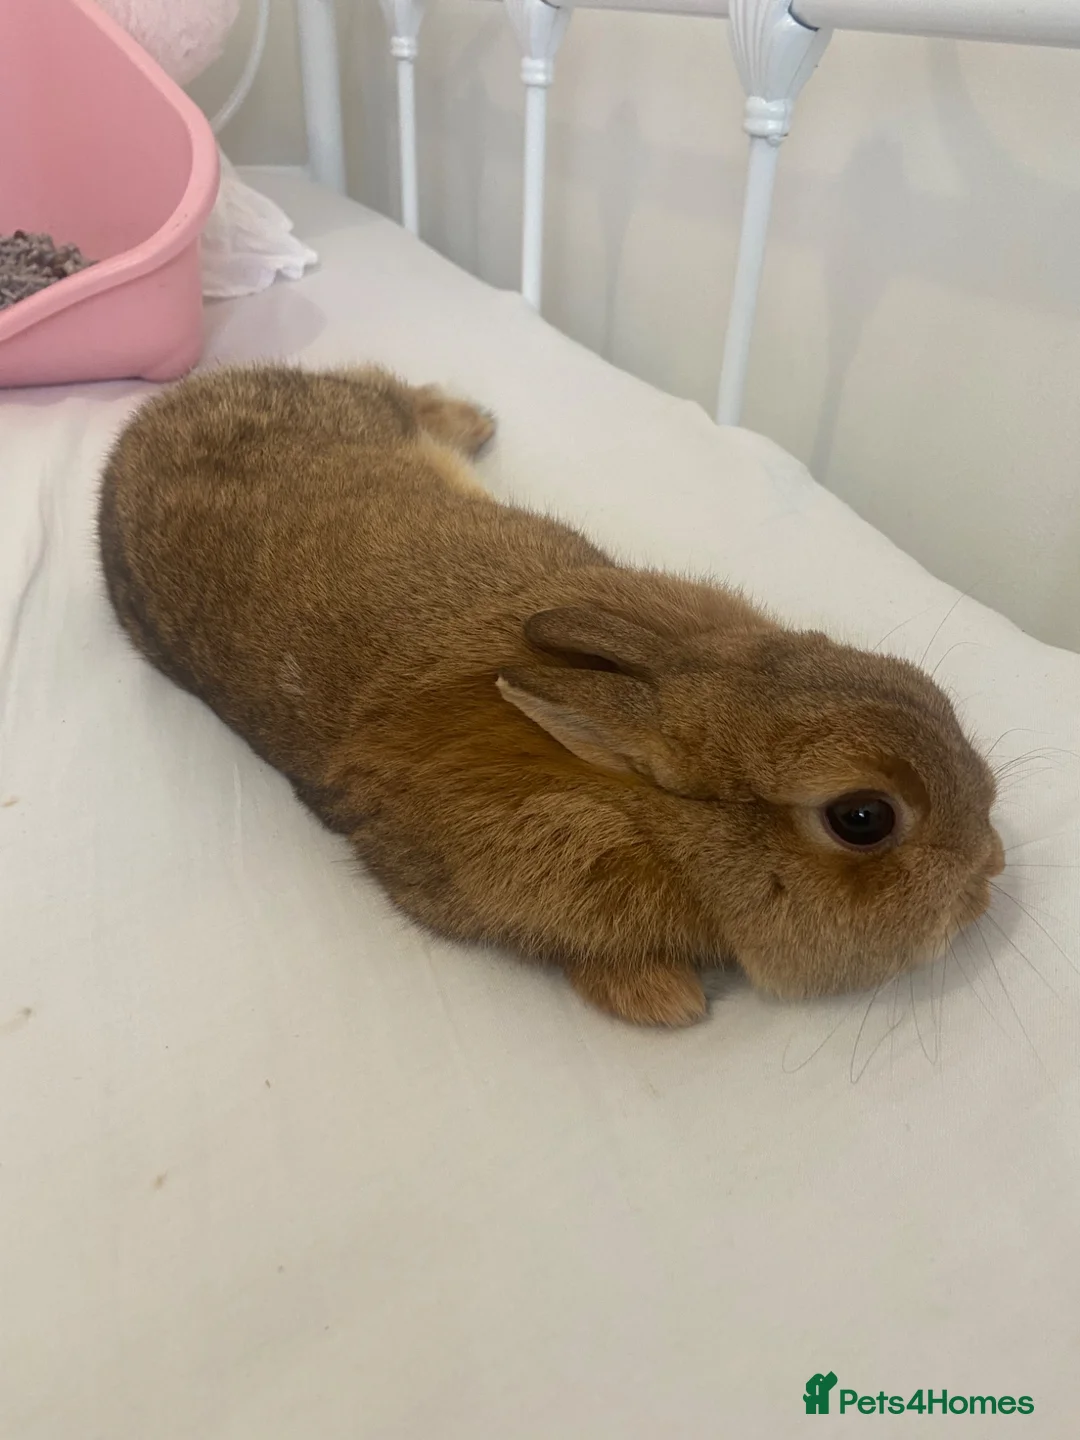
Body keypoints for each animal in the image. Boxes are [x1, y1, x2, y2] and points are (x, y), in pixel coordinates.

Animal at [98, 364, 1004, 1027]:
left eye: (922, 686)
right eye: (864, 818)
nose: (991, 868)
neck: (653, 818)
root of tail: (148, 420)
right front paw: (671, 1002)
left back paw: (472, 419)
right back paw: (475, 418)